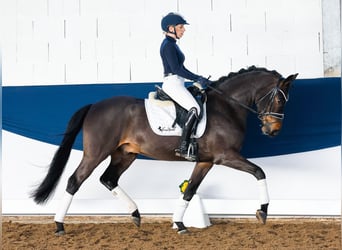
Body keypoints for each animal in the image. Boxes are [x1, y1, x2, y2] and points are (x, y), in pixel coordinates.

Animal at [32, 66, 298, 234]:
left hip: (125, 154)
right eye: (279, 100)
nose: (273, 131)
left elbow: (190, 191)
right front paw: (263, 211)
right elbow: (260, 172)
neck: (227, 108)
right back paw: (59, 226)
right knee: (75, 181)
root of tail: (95, 106)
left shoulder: (205, 161)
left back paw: (136, 215)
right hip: (96, 153)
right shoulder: (226, 156)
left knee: (108, 179)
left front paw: (179, 224)